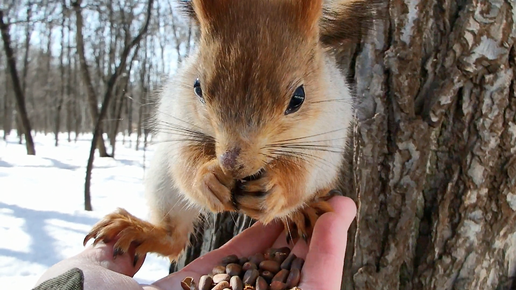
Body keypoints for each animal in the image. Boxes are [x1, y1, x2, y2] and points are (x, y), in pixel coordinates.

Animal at [83, 0, 374, 262]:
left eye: (298, 98)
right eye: (197, 87)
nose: (231, 164)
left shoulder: (326, 136)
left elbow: (302, 175)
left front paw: (276, 188)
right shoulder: (180, 119)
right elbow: (185, 160)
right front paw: (208, 177)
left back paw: (301, 213)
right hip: (162, 179)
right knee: (174, 238)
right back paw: (141, 230)